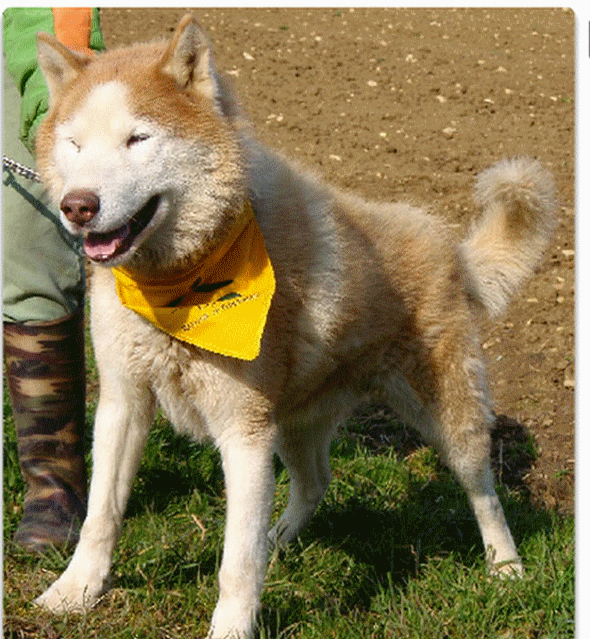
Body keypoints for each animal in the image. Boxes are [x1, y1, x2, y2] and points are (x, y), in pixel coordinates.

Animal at [33, 15, 560, 639]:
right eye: (74, 143)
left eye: (138, 139)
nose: (78, 206)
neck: (178, 287)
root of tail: (451, 248)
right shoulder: (124, 403)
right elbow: (102, 514)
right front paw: (74, 592)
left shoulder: (244, 431)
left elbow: (235, 562)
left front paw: (231, 627)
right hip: (294, 425)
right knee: (315, 482)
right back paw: (279, 540)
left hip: (448, 418)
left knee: (484, 490)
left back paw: (506, 568)